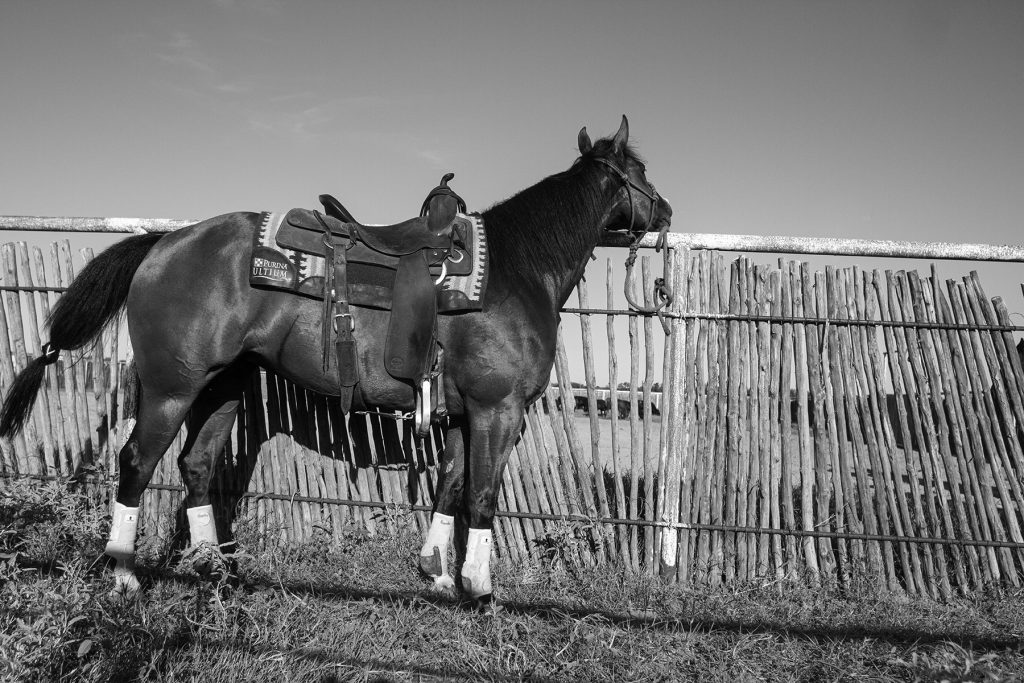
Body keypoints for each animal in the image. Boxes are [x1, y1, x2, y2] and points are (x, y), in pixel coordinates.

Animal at [0, 116, 672, 607]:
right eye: (639, 170)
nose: (665, 211)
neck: (516, 268)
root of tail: (165, 241)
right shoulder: (497, 411)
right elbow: (482, 496)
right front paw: (480, 590)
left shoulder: (460, 416)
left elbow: (450, 488)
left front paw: (437, 575)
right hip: (171, 389)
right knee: (137, 463)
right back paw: (123, 574)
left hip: (223, 388)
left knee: (195, 466)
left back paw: (218, 572)